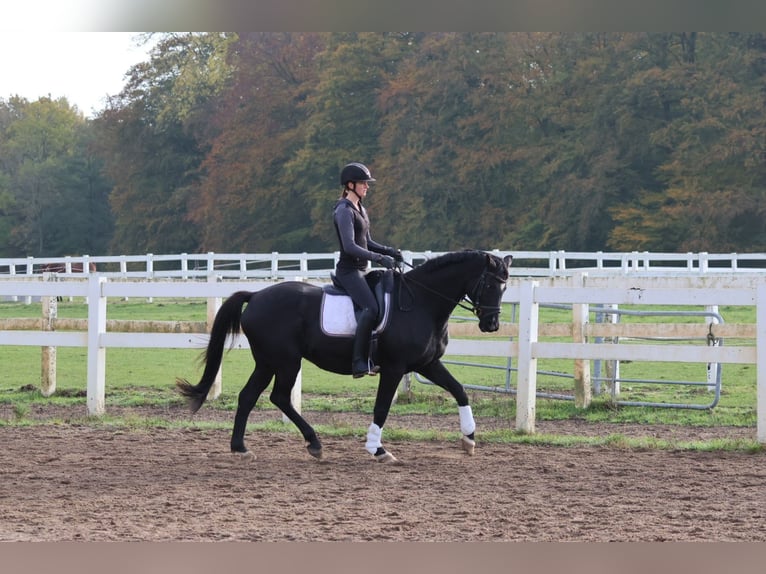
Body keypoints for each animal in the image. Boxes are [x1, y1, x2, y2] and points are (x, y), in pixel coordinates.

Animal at [176, 251, 512, 464]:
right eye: (490, 283)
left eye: (505, 285)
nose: (492, 324)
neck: (420, 302)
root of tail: (256, 296)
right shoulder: (394, 368)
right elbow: (381, 408)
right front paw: (377, 449)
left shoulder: (427, 364)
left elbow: (459, 390)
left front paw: (469, 439)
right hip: (286, 361)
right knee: (279, 397)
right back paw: (314, 444)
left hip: (268, 362)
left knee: (249, 396)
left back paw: (241, 448)